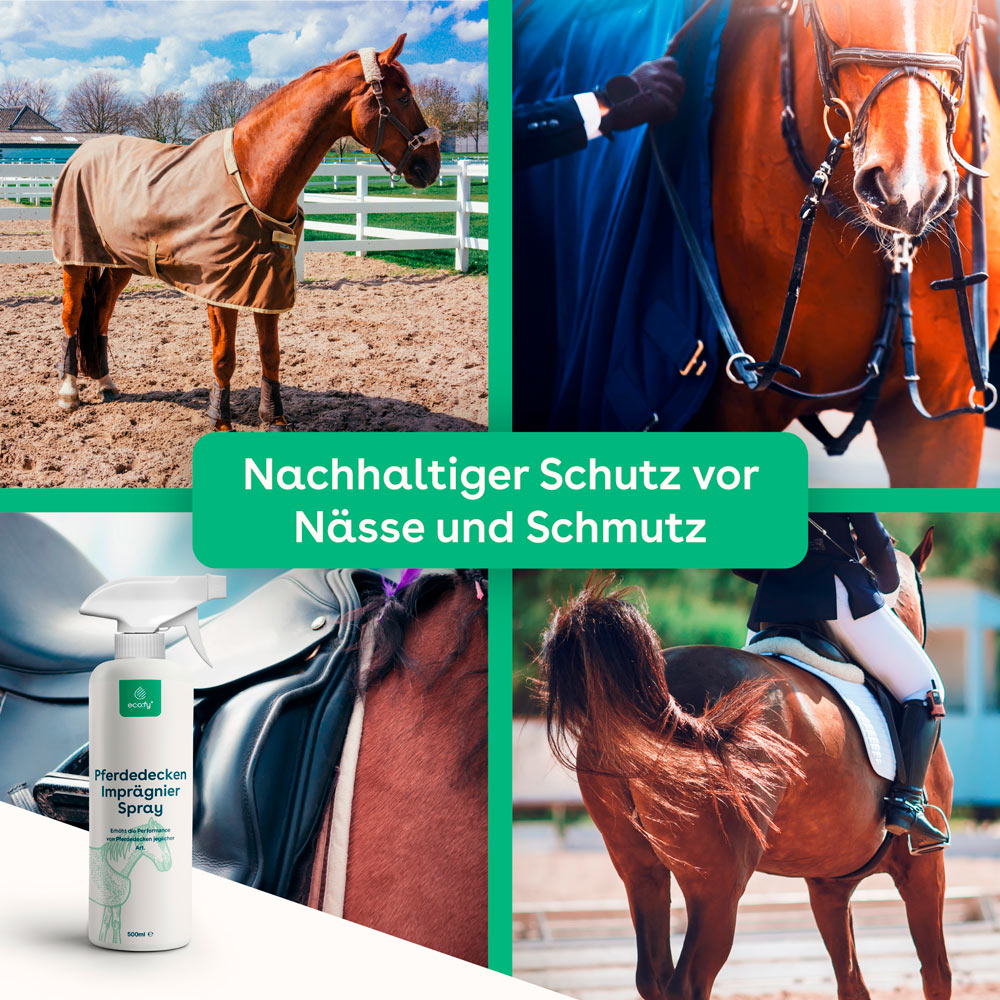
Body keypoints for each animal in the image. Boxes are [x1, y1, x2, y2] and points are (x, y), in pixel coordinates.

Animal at [54, 34, 441, 431]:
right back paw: (69, 392)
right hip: (75, 259)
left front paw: (275, 418)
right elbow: (224, 356)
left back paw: (105, 383)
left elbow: (271, 353)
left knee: (101, 312)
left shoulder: (267, 285)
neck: (253, 175)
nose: (432, 166)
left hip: (120, 264)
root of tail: (81, 153)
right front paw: (220, 421)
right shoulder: (220, 290)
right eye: (404, 97)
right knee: (72, 314)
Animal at [539, 533, 954, 1000]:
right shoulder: (924, 868)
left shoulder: (828, 885)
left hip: (640, 869)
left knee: (652, 973)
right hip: (717, 884)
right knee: (689, 981)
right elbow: (936, 974)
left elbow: (852, 983)